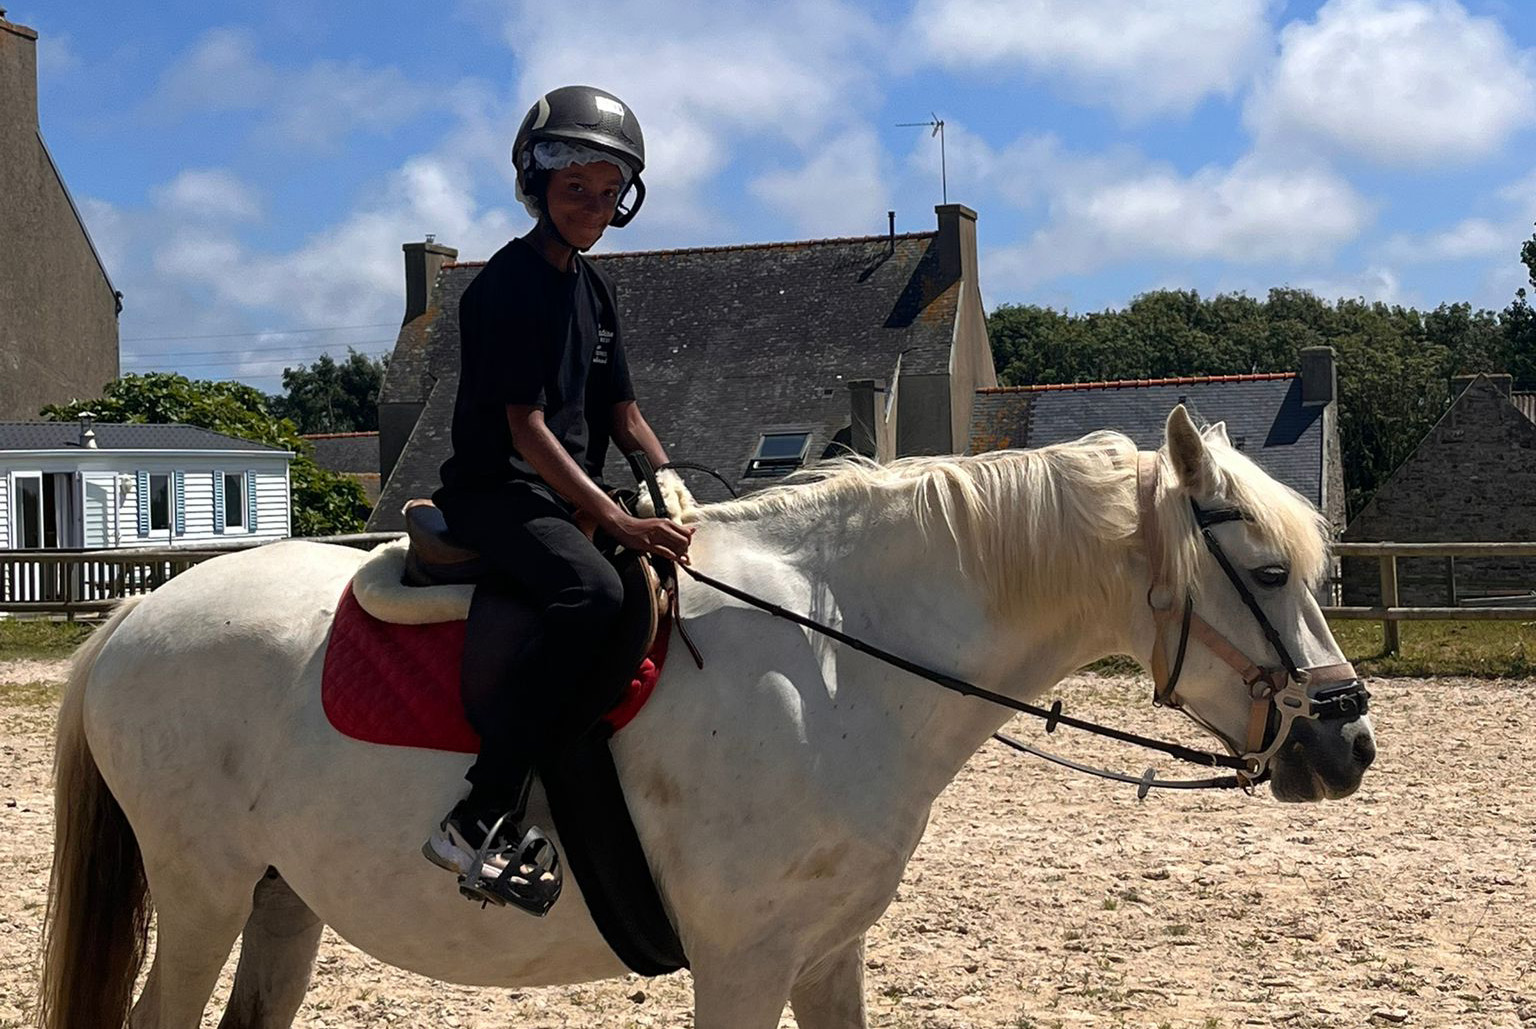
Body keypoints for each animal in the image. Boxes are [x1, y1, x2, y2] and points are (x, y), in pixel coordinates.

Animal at [36, 411, 1382, 1029]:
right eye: (1269, 572)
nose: (1350, 742)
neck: (836, 660)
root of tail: (134, 619)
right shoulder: (742, 962)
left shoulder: (827, 953)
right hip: (205, 891)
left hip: (280, 900)